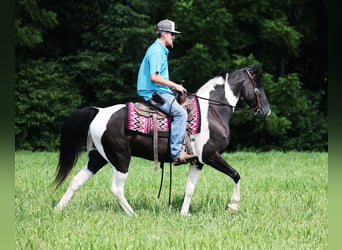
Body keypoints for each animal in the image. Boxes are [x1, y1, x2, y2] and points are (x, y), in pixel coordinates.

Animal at [53, 66, 272, 215]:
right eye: (259, 85)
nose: (266, 111)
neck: (212, 112)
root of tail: (98, 111)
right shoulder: (210, 155)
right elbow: (235, 174)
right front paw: (233, 205)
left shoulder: (198, 161)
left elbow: (189, 188)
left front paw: (183, 214)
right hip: (120, 158)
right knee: (116, 188)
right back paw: (133, 214)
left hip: (98, 157)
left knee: (76, 181)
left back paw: (58, 208)